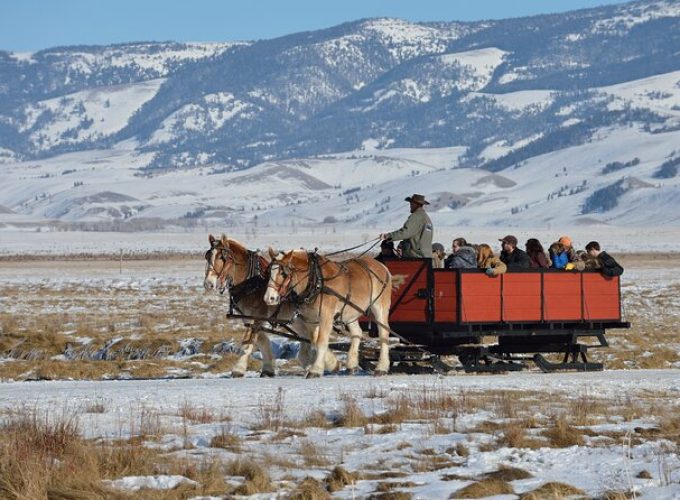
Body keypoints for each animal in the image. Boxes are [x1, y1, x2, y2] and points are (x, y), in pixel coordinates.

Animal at [203, 236, 338, 376]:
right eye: (207, 256)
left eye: (221, 257)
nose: (208, 283)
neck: (251, 282)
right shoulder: (248, 317)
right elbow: (262, 341)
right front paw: (268, 368)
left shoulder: (257, 315)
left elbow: (248, 343)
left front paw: (238, 369)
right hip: (299, 319)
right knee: (309, 336)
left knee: (313, 336)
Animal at [266, 248, 394, 376]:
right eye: (269, 272)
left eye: (283, 273)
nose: (269, 298)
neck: (316, 280)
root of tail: (382, 266)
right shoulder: (310, 319)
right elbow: (314, 341)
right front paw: (333, 364)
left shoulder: (326, 316)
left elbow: (321, 341)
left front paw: (316, 370)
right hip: (350, 312)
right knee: (357, 332)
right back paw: (351, 365)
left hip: (379, 307)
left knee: (383, 333)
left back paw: (381, 367)